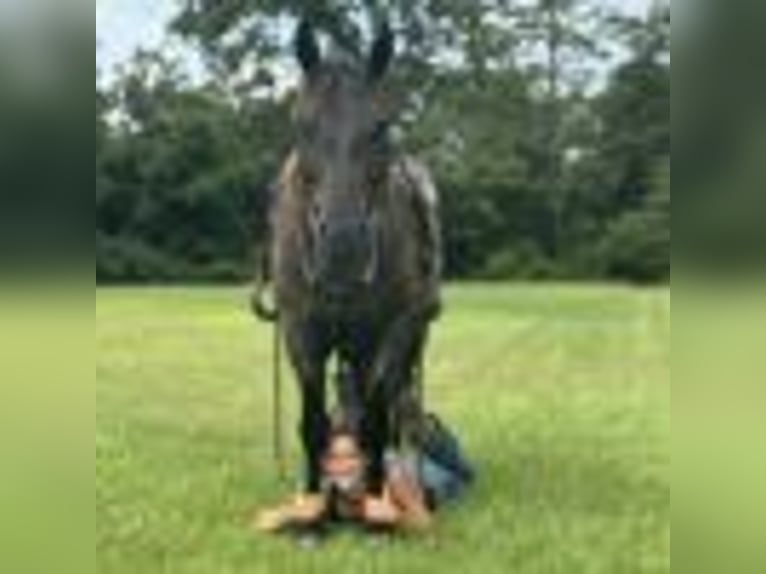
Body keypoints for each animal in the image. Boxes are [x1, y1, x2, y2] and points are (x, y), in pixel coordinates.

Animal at [264, 19, 442, 520]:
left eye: (381, 127)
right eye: (302, 124)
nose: (343, 248)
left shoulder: (393, 331)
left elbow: (377, 423)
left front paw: (376, 501)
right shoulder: (301, 332)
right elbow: (313, 423)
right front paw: (311, 500)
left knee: (393, 410)